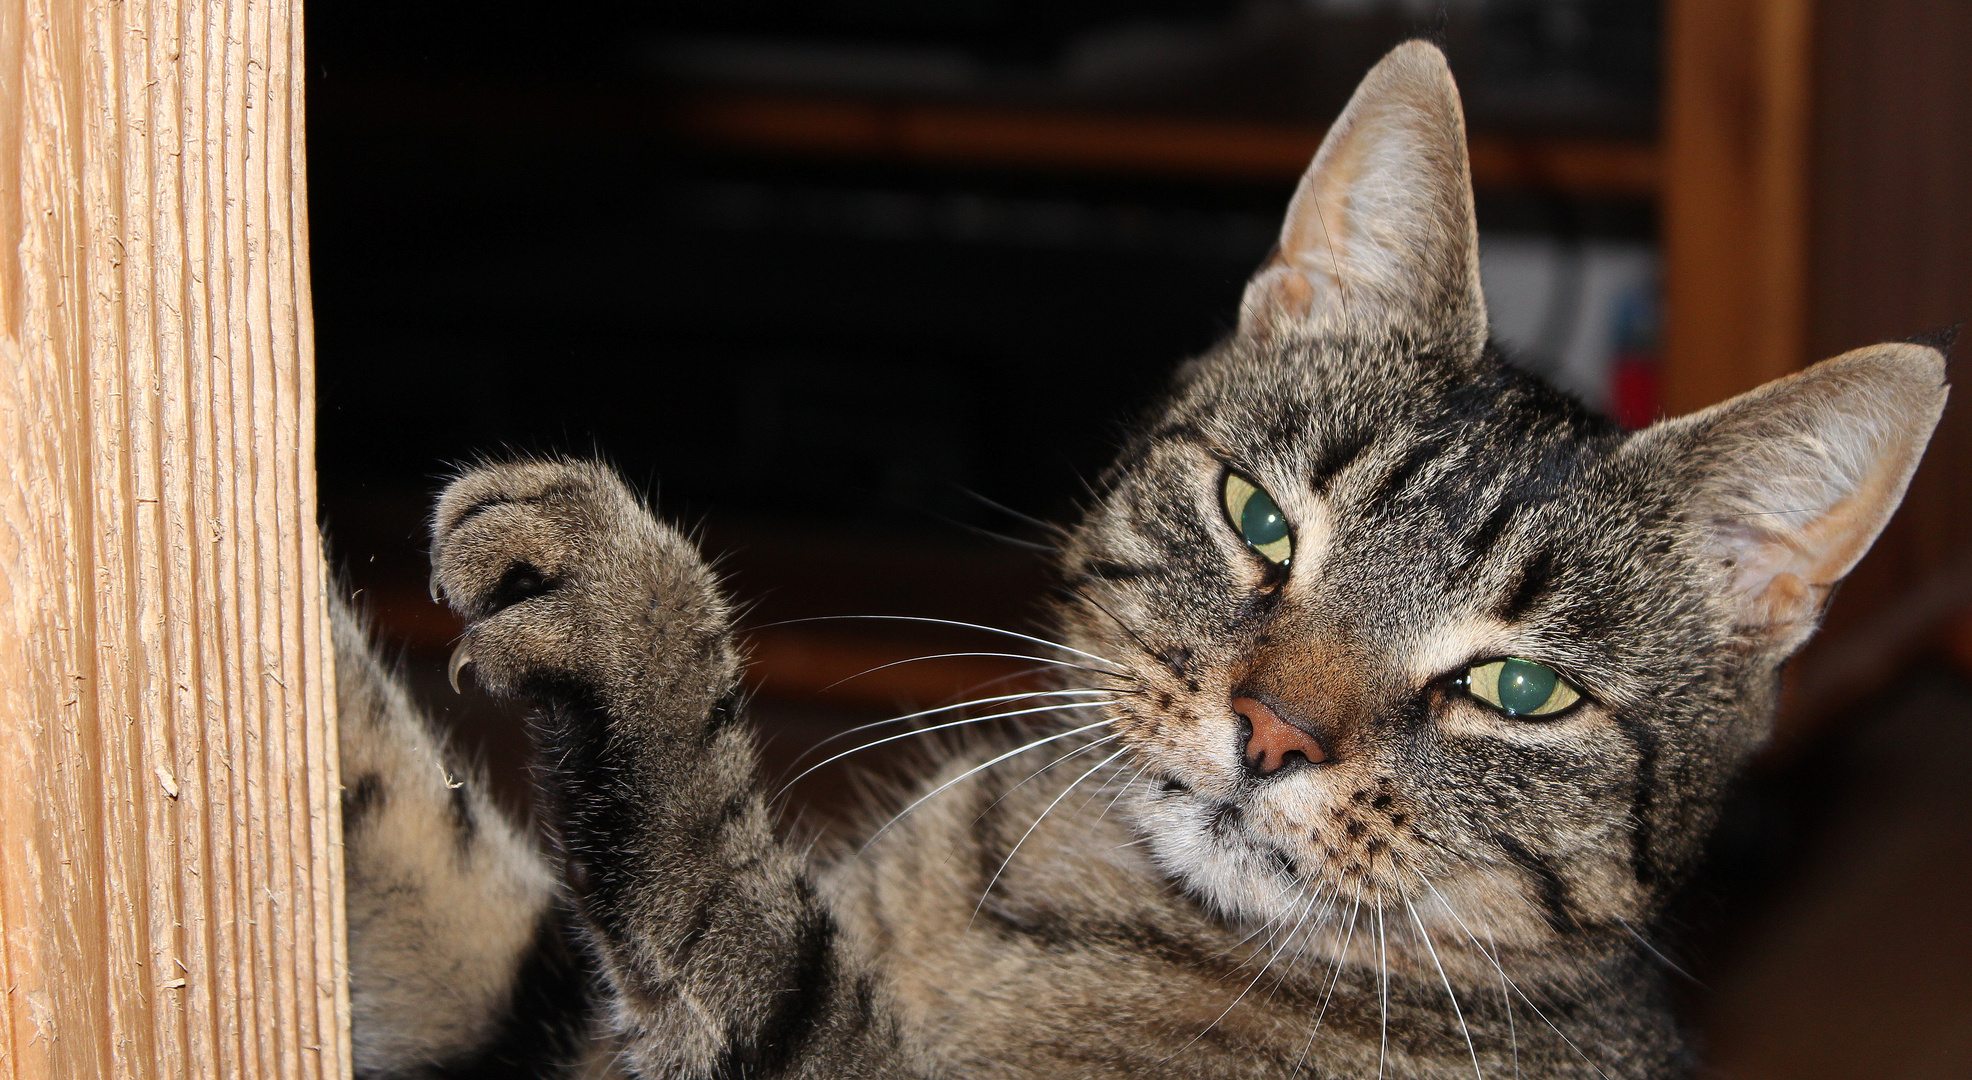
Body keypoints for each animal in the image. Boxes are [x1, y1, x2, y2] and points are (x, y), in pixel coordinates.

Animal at [331, 42, 1948, 1080]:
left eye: (1521, 691)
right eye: (1260, 519)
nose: (1273, 733)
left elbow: (749, 942)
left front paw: (639, 617)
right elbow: (416, 849)